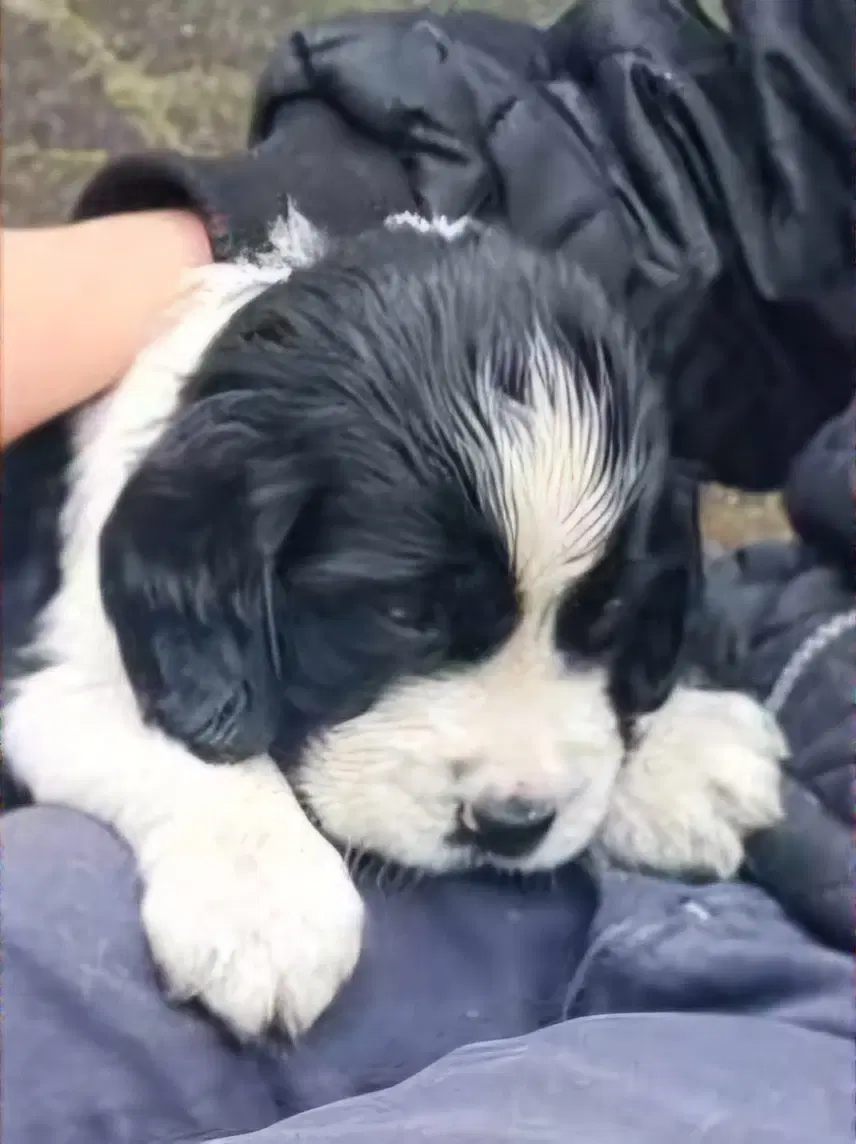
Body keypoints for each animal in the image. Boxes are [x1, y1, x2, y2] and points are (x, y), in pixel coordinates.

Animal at [5, 212, 782, 1038]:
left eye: (608, 615)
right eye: (404, 613)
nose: (511, 824)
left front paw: (683, 751)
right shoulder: (48, 681)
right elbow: (183, 747)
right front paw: (264, 901)